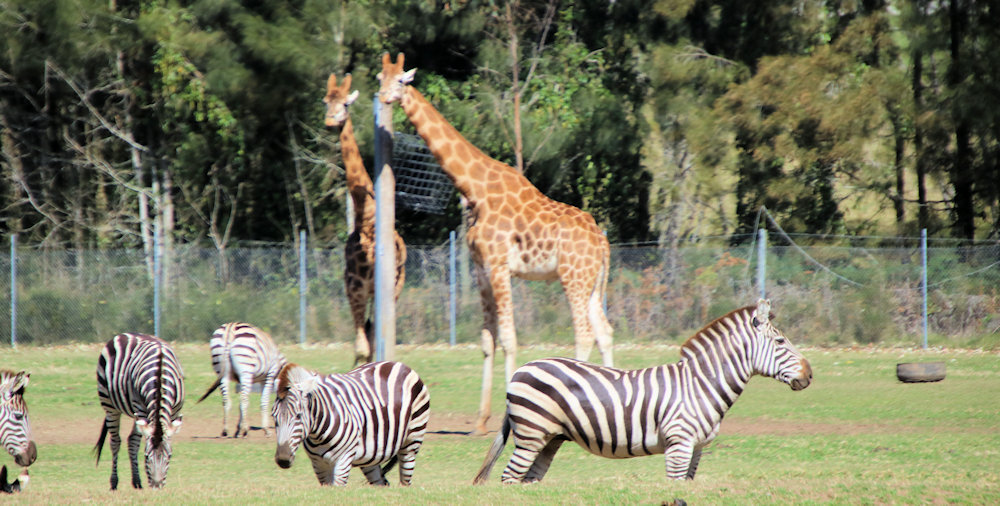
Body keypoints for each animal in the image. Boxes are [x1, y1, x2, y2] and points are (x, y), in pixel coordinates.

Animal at [95, 334, 188, 488]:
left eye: (169, 456)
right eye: (146, 456)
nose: (156, 487)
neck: (160, 373)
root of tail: (124, 334)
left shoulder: (175, 411)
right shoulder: (140, 407)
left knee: (132, 440)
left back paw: (137, 482)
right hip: (110, 405)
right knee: (115, 442)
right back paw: (114, 482)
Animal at [274, 360, 430, 486]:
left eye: (298, 416)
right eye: (274, 418)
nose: (282, 460)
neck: (318, 434)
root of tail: (398, 364)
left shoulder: (343, 460)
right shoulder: (318, 465)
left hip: (412, 441)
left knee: (405, 480)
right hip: (371, 456)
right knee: (381, 482)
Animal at [326, 73, 408, 366]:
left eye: (345, 104)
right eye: (326, 101)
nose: (330, 121)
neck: (366, 219)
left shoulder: (376, 289)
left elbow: (367, 345)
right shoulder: (354, 287)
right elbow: (361, 347)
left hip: (394, 287)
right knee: (368, 338)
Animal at [378, 54, 612, 434]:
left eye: (401, 81)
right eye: (380, 78)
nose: (383, 97)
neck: (474, 188)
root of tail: (602, 242)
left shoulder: (501, 267)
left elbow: (509, 338)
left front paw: (510, 414)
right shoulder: (481, 269)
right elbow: (488, 341)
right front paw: (480, 420)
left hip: (573, 277)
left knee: (584, 333)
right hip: (593, 283)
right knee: (604, 332)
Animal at [472, 298, 808, 484]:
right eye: (781, 342)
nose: (809, 374)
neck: (701, 385)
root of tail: (520, 370)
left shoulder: (697, 449)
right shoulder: (679, 445)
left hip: (550, 439)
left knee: (527, 480)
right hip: (531, 435)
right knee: (509, 478)